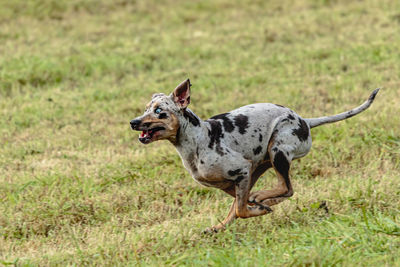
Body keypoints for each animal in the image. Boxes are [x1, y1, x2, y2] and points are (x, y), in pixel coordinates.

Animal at [130, 79, 380, 232]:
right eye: (145, 109)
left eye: (159, 111)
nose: (133, 122)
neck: (198, 138)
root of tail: (305, 121)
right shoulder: (234, 181)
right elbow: (238, 205)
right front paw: (256, 207)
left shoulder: (241, 170)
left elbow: (241, 209)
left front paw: (259, 207)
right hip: (261, 165)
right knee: (277, 192)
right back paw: (226, 223)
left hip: (278, 152)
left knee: (287, 188)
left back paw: (262, 200)